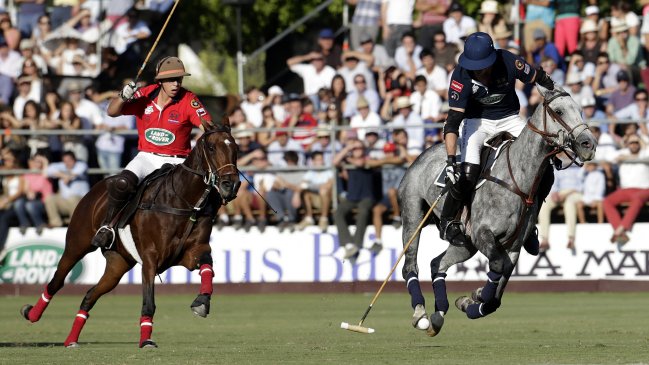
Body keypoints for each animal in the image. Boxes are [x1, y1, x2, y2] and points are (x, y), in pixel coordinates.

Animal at [20, 116, 239, 346]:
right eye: (212, 147)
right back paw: (32, 314)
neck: (185, 200)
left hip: (118, 263)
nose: (230, 185)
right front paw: (146, 340)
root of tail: (97, 186)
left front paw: (202, 301)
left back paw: (71, 340)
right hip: (77, 244)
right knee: (57, 281)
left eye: (236, 148)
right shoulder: (151, 257)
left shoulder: (193, 251)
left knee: (90, 295)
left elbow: (207, 267)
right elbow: (148, 301)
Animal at [398, 86, 600, 336]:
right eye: (559, 110)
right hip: (413, 218)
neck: (518, 179)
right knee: (410, 265)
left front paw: (469, 301)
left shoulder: (513, 247)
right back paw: (421, 315)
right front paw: (476, 297)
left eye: (580, 109)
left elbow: (497, 294)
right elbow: (496, 267)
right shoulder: (483, 234)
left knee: (437, 263)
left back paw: (438, 315)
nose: (588, 144)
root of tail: (420, 155)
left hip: (465, 244)